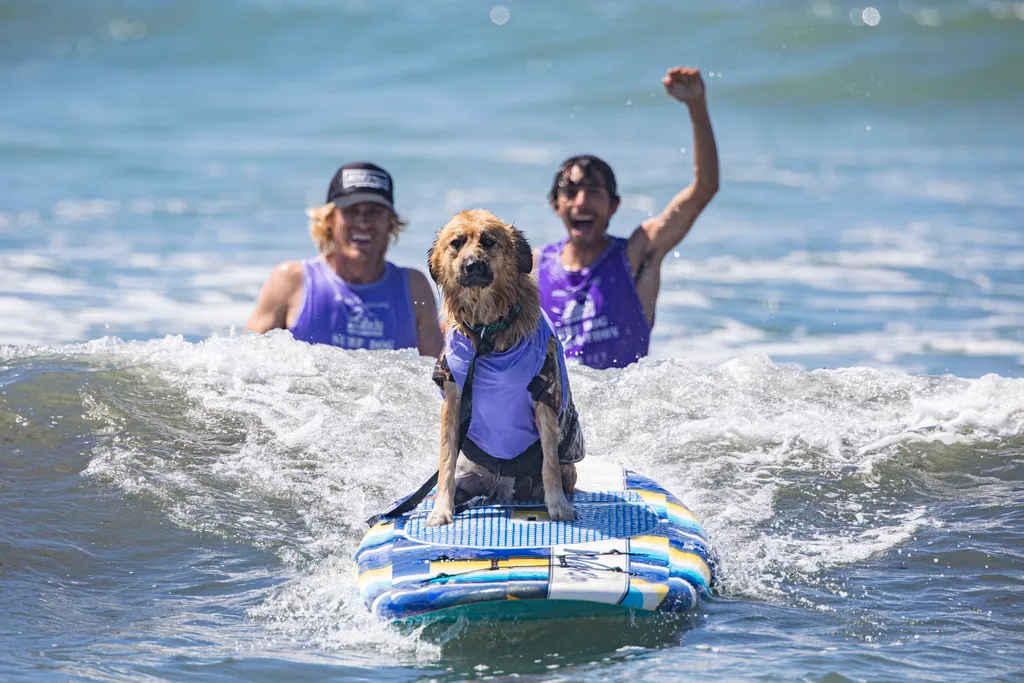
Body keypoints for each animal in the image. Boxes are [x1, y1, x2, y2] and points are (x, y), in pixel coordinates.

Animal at [423, 210, 585, 528]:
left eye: (488, 241)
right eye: (456, 243)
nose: (472, 266)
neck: (487, 331)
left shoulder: (544, 393)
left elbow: (549, 461)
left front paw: (558, 505)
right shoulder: (453, 397)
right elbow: (446, 459)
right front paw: (441, 509)